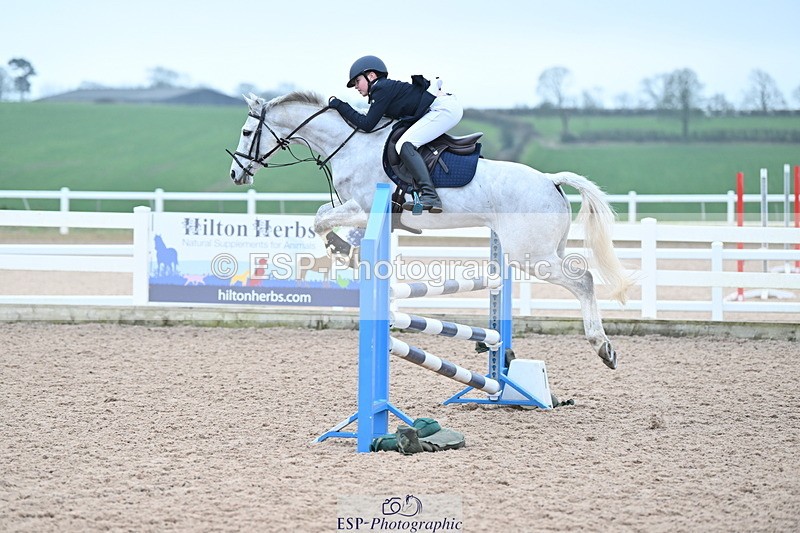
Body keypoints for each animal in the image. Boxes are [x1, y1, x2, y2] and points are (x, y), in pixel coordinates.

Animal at [227, 91, 633, 369]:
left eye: (247, 131)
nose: (235, 174)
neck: (350, 145)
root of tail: (551, 180)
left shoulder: (365, 207)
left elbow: (320, 219)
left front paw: (342, 249)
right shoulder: (359, 209)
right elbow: (323, 215)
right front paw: (344, 251)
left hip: (531, 255)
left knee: (583, 281)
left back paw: (603, 347)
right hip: (546, 249)